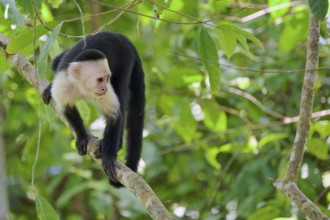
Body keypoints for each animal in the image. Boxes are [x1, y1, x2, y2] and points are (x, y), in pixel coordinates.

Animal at [42, 31, 145, 187]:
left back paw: (116, 144)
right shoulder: (63, 84)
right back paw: (49, 87)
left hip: (125, 58)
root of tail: (120, 36)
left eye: (106, 78)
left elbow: (114, 114)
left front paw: (108, 155)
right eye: (99, 79)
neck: (82, 87)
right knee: (56, 62)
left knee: (120, 91)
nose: (104, 88)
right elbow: (67, 108)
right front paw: (82, 137)